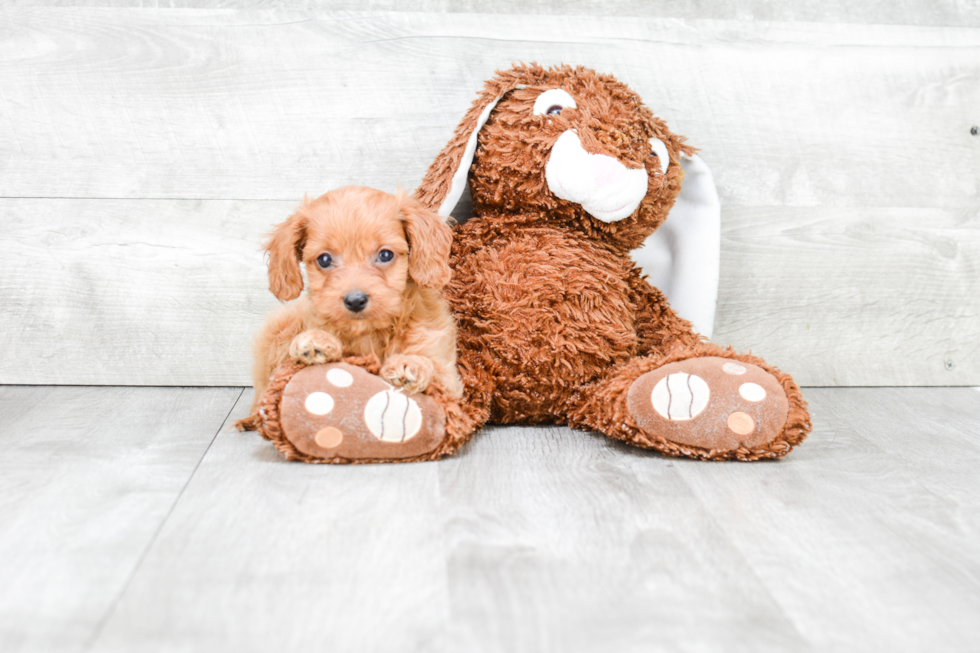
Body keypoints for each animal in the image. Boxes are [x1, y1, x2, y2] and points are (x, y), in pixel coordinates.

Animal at [240, 185, 464, 428]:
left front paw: (410, 364)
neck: (369, 334)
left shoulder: (449, 379)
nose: (355, 300)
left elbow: (434, 370)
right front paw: (316, 341)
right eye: (324, 259)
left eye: (385, 254)